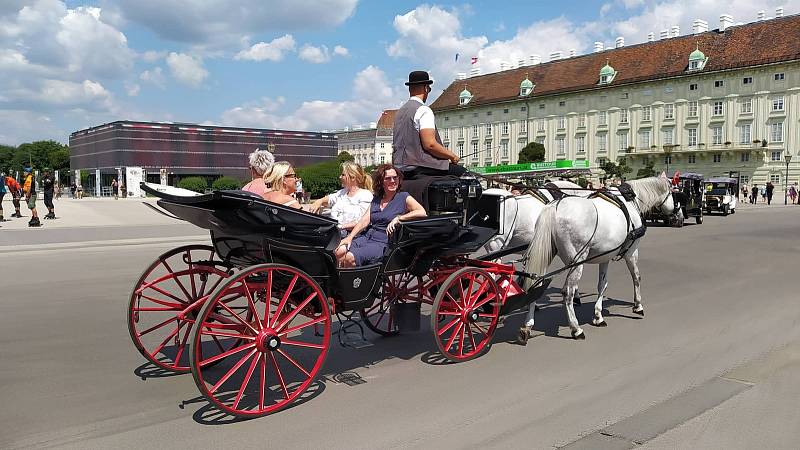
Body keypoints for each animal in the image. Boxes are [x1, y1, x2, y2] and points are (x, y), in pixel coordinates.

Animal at [516, 176, 680, 342]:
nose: (677, 215)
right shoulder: (632, 252)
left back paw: (527, 326)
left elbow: (603, 284)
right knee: (567, 292)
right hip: (576, 262)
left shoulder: (604, 257)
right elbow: (636, 277)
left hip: (545, 255)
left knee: (535, 286)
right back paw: (576, 328)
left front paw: (598, 316)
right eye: (674, 193)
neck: (631, 200)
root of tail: (553, 208)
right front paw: (638, 306)